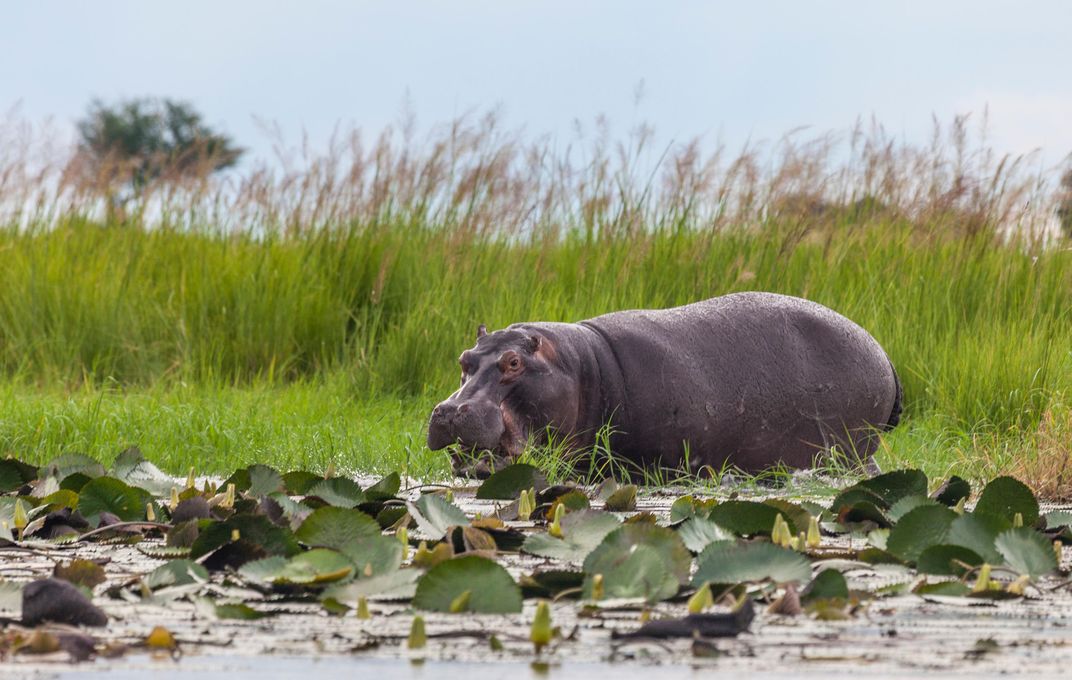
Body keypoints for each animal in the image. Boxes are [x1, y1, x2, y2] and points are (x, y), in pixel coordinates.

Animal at [427, 292, 902, 478]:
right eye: (463, 360)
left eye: (513, 363)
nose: (450, 411)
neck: (581, 365)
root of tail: (883, 353)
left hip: (850, 450)